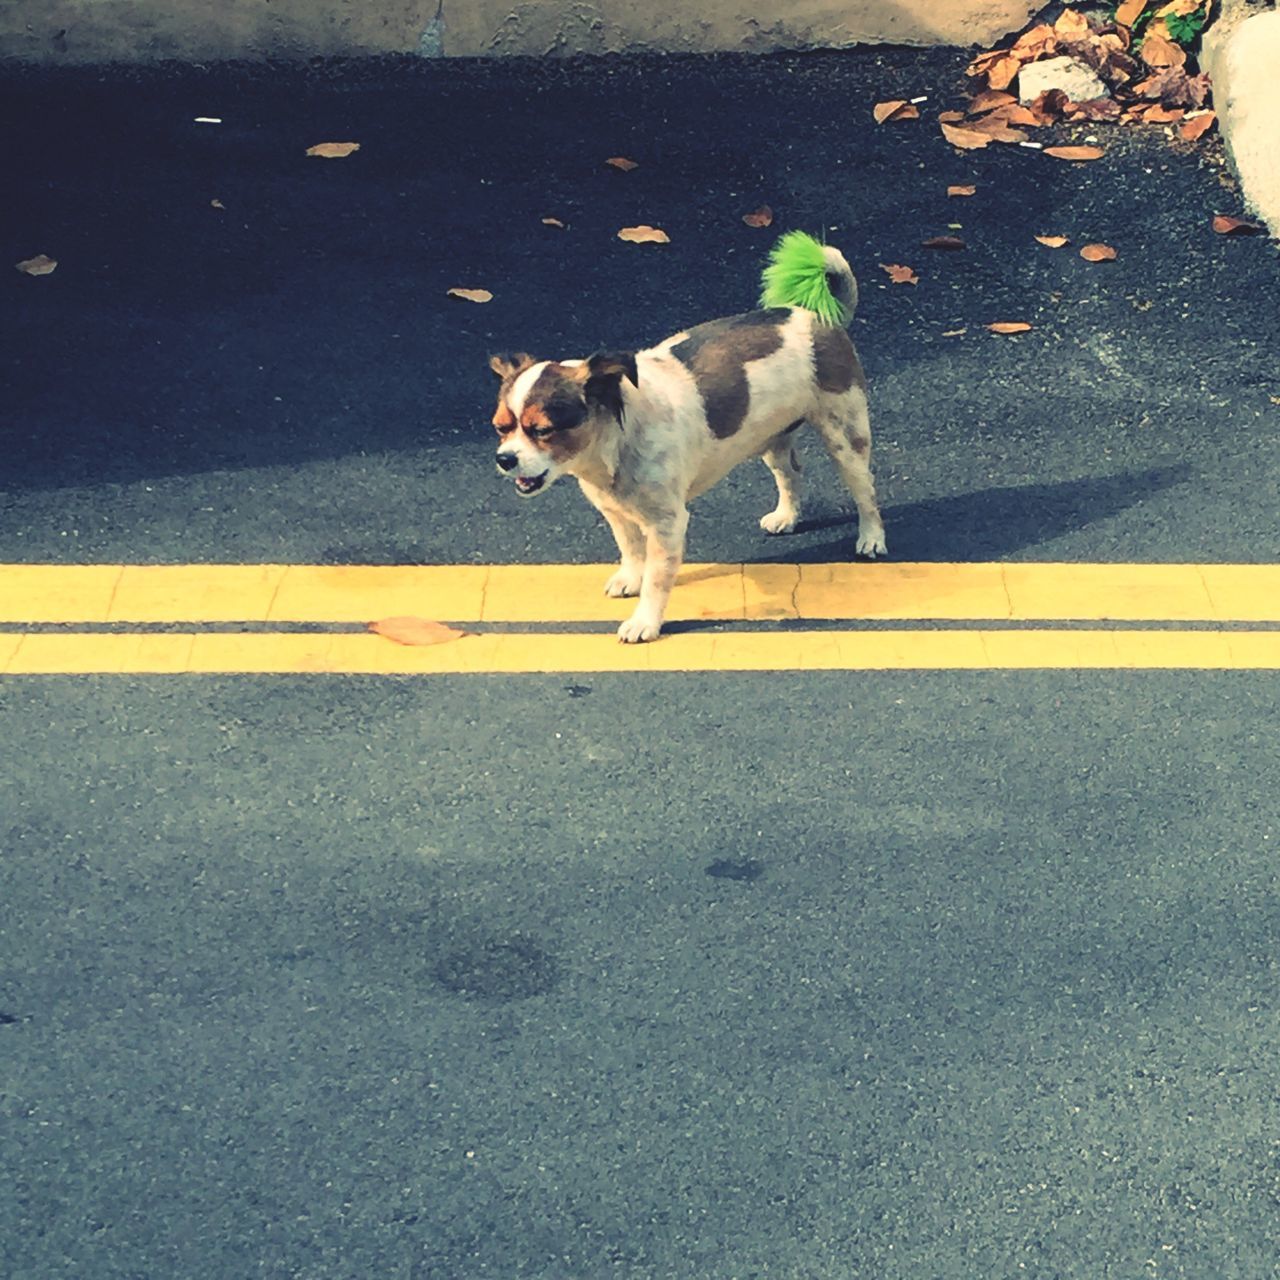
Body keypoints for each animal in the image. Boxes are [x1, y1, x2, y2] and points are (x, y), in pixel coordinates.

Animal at [491, 236, 890, 645]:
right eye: (501, 427)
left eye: (542, 430)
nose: (504, 458)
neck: (614, 445)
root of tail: (817, 316)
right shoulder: (616, 513)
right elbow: (630, 550)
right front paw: (630, 578)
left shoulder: (667, 524)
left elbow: (656, 580)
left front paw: (645, 622)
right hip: (773, 439)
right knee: (791, 473)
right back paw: (787, 516)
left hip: (845, 438)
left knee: (866, 492)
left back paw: (871, 538)